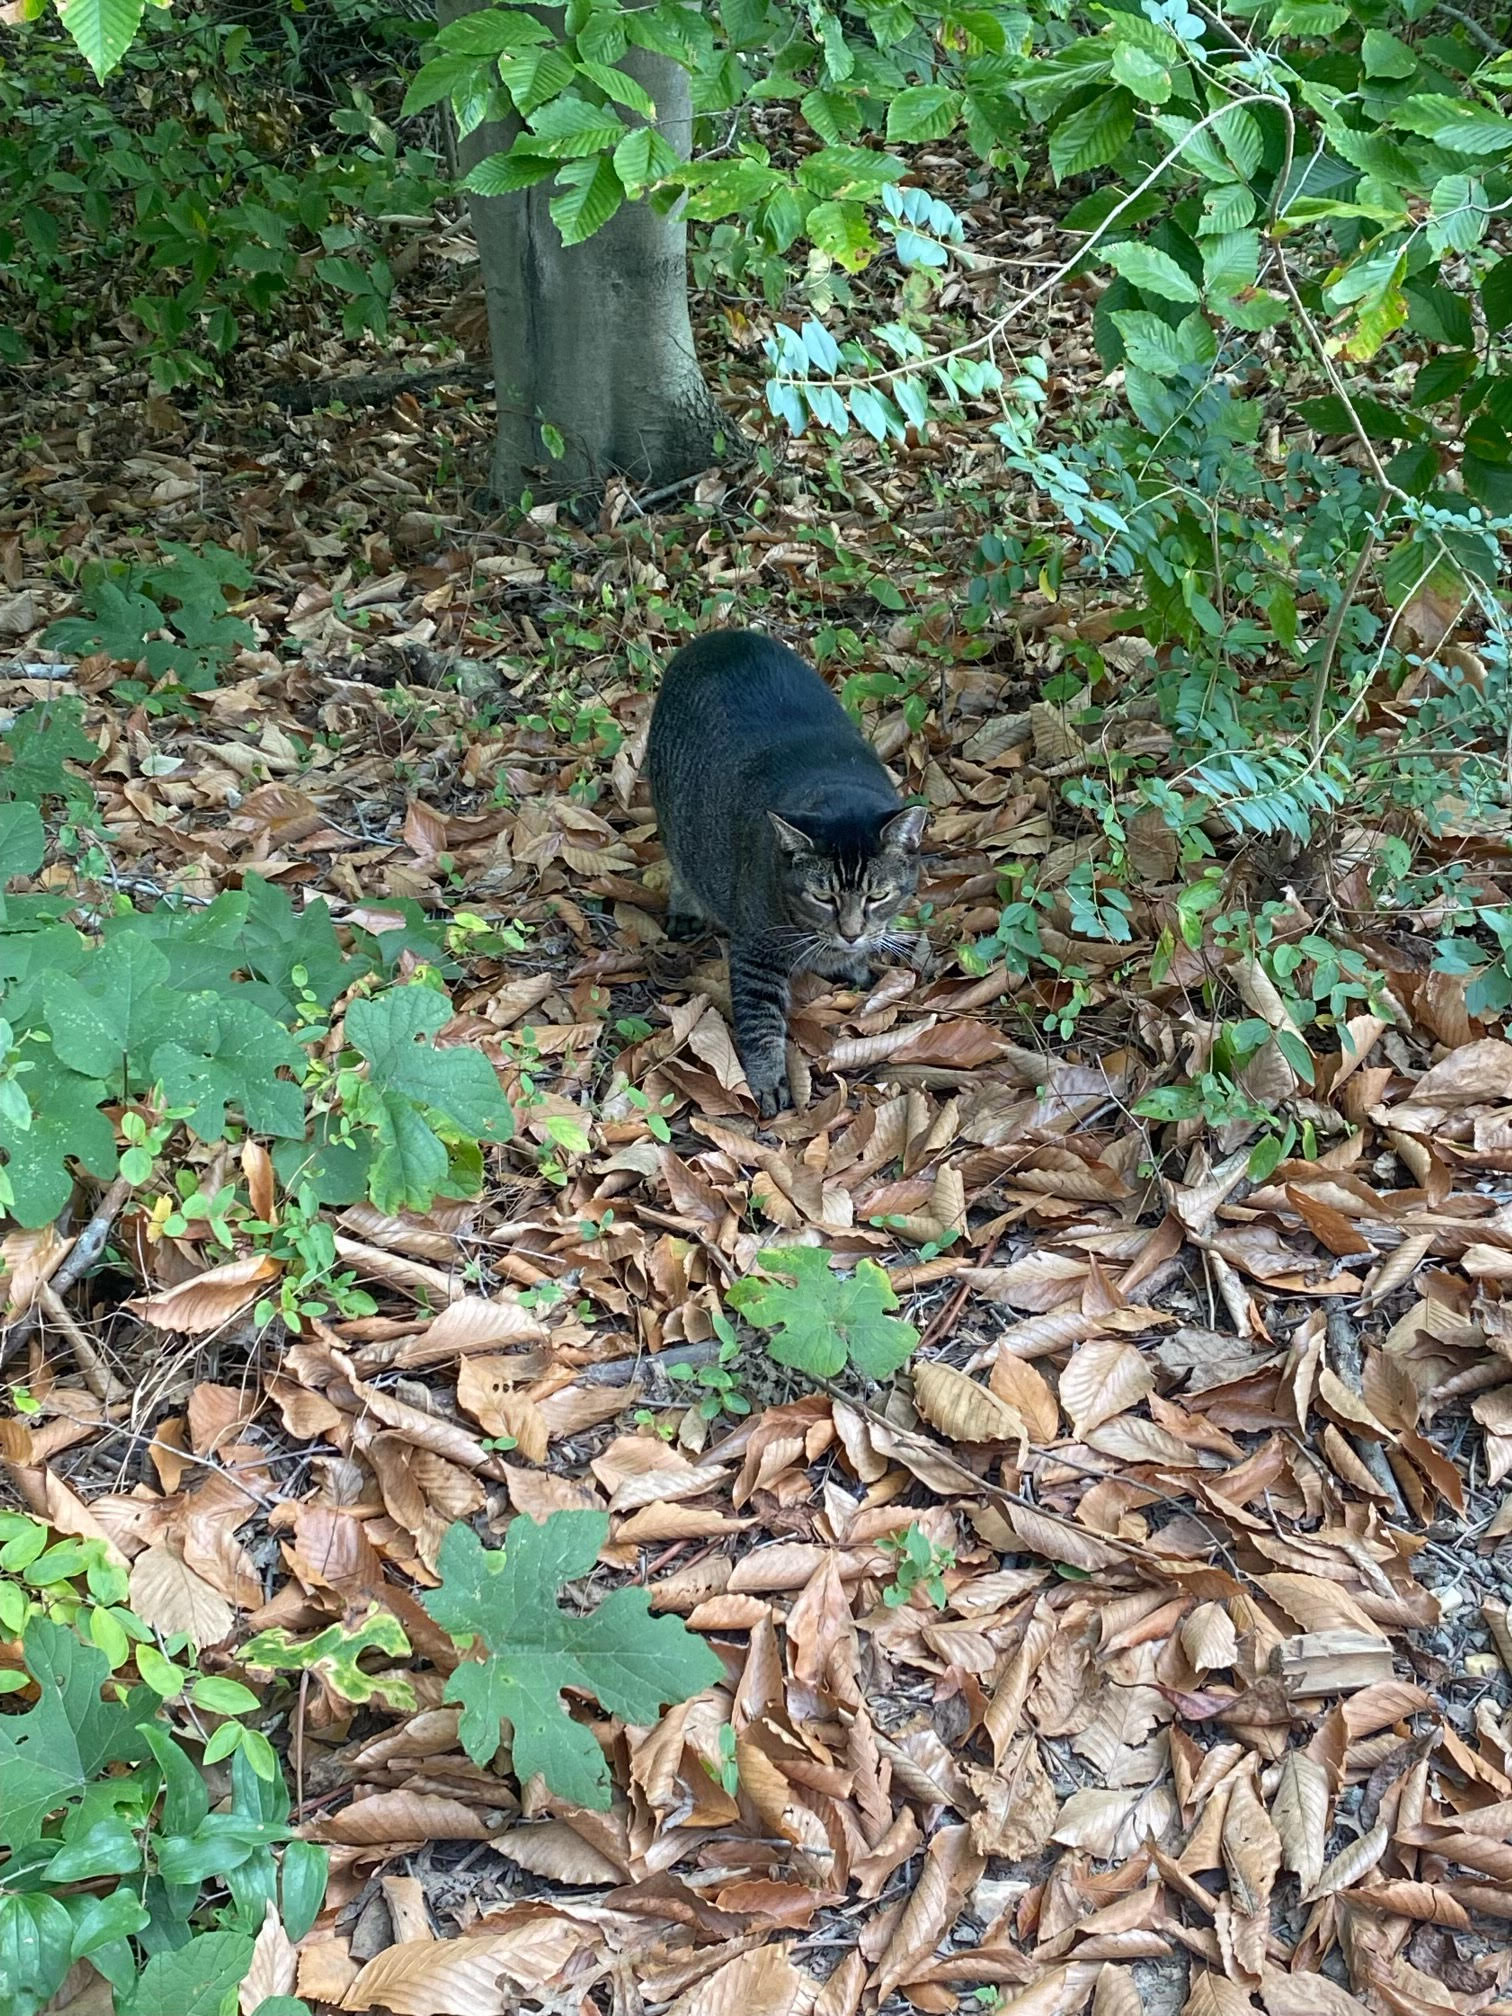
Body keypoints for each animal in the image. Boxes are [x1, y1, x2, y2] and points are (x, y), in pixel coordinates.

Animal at [649, 624, 931, 1112]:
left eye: (878, 895)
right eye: (822, 896)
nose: (850, 932)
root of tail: (722, 636)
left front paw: (854, 963)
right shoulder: (756, 949)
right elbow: (760, 1020)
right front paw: (768, 1079)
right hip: (673, 813)